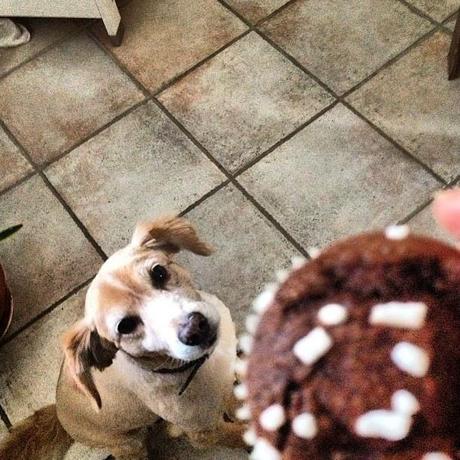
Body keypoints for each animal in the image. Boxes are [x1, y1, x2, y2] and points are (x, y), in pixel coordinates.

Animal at [0, 216, 248, 460]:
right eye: (125, 326)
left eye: (159, 272)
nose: (195, 328)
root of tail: (59, 413)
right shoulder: (204, 433)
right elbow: (238, 434)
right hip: (129, 442)